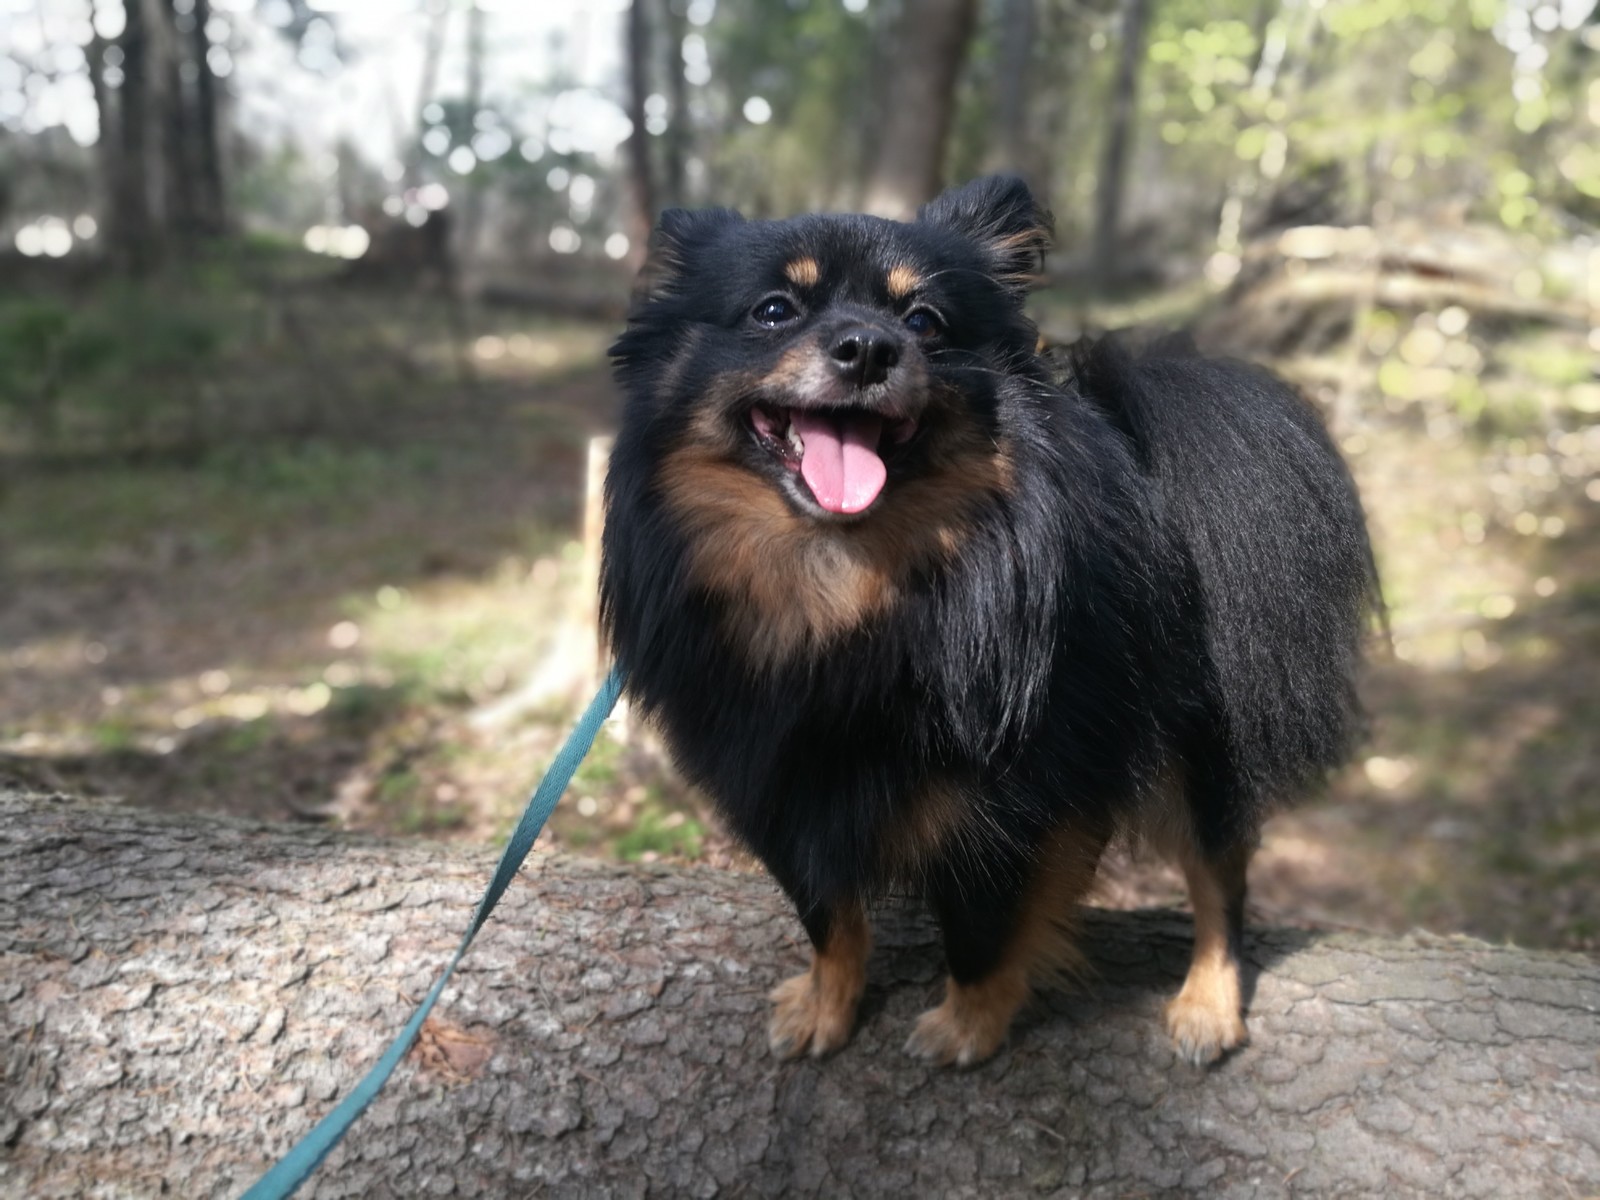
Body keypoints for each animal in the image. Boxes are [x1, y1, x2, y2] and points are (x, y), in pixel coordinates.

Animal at [601, 176, 1376, 1068]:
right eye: (773, 310)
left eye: (923, 322)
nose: (868, 349)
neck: (840, 590)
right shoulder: (776, 783)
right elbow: (827, 914)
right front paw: (829, 1003)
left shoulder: (1012, 799)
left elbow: (982, 928)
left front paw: (968, 1023)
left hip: (1197, 740)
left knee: (1221, 874)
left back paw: (1207, 1003)